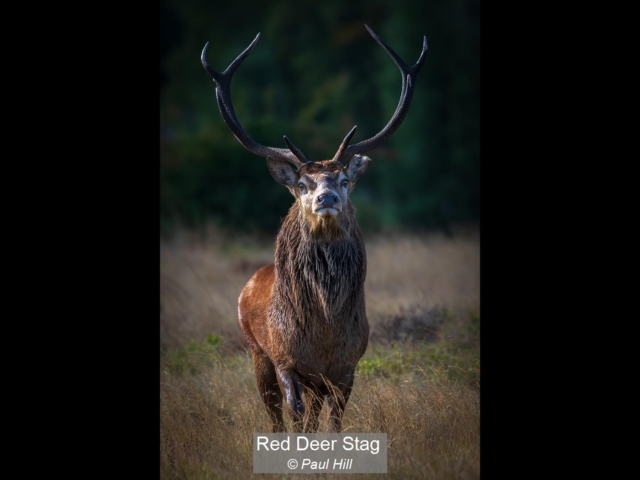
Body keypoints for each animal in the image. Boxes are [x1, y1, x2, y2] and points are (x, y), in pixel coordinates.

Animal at [201, 24, 427, 433]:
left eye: (343, 180)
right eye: (303, 185)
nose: (326, 197)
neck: (324, 333)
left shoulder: (346, 367)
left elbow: (334, 421)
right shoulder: (285, 358)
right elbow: (295, 412)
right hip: (255, 350)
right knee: (275, 413)